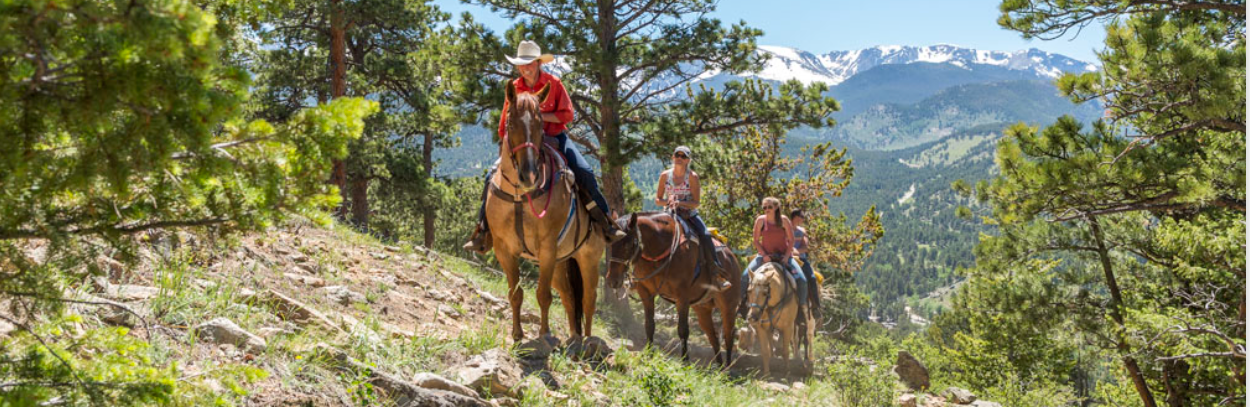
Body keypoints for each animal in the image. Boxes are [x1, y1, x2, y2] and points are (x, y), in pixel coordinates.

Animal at [485, 81, 602, 342]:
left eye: (540, 125)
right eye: (510, 123)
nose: (529, 175)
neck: (520, 196)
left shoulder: (547, 247)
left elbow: (543, 295)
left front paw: (545, 333)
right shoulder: (504, 250)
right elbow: (516, 293)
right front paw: (517, 334)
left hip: (588, 258)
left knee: (588, 301)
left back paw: (587, 341)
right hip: (560, 263)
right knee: (569, 297)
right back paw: (574, 338)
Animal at [607, 213, 740, 364]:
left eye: (628, 244)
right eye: (610, 243)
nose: (613, 280)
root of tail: (732, 258)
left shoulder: (682, 296)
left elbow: (683, 330)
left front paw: (685, 361)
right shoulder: (646, 293)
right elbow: (649, 324)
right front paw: (649, 354)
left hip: (728, 306)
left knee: (728, 337)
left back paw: (727, 367)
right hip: (702, 309)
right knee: (713, 337)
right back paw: (720, 366)